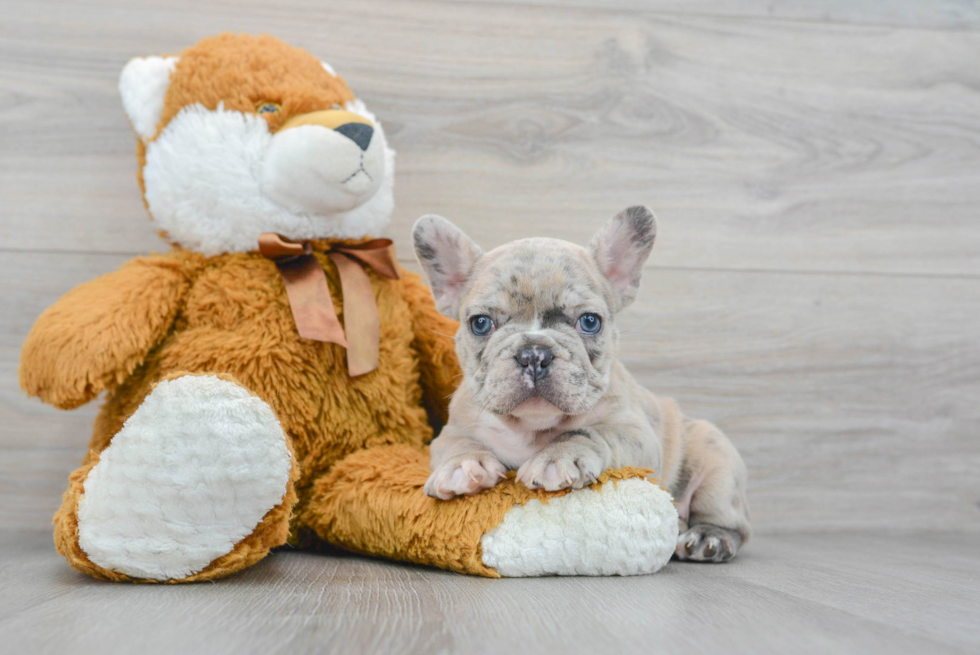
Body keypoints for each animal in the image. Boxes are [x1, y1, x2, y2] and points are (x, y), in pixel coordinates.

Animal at [412, 208, 752, 560]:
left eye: (590, 322)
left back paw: (707, 538)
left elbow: (589, 432)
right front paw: (461, 465)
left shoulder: (636, 434)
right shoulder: (451, 432)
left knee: (732, 522)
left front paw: (558, 457)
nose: (534, 353)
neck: (531, 429)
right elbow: (458, 444)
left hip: (716, 465)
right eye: (480, 323)